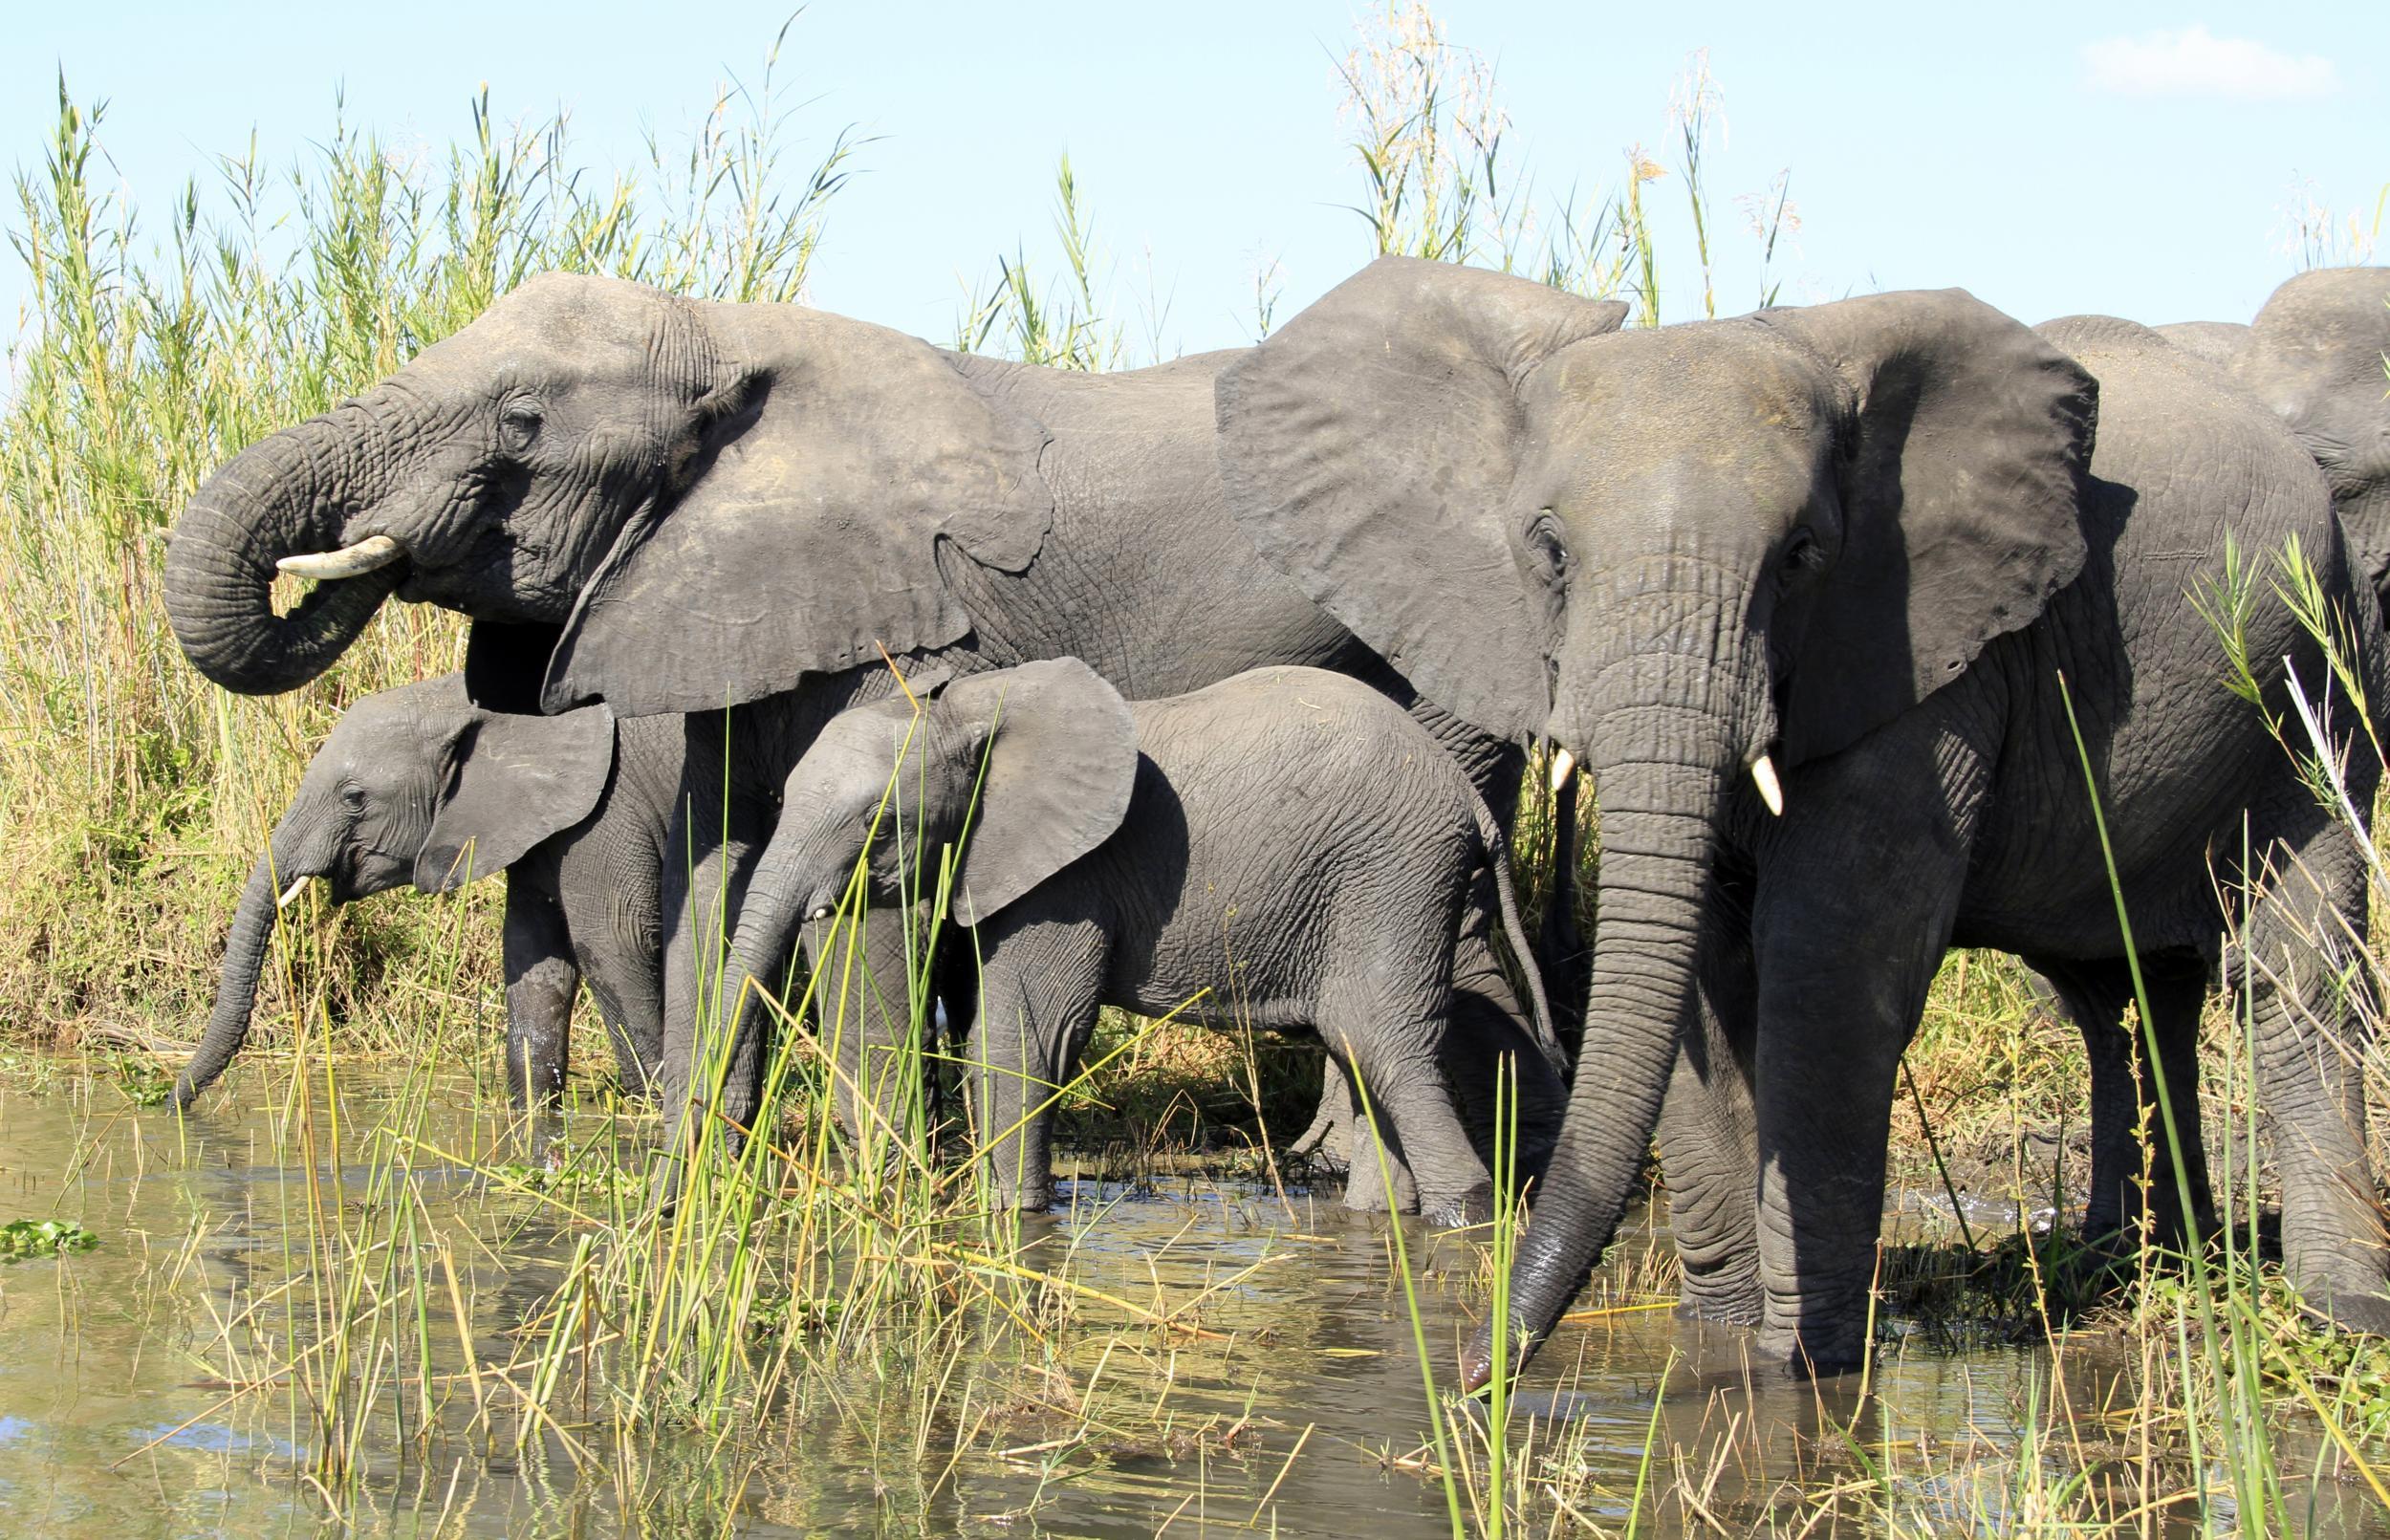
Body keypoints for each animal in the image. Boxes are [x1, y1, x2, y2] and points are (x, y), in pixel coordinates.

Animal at [722, 655, 1568, 1219]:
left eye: (877, 821)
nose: (707, 1146)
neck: (960, 716)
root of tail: (1468, 799)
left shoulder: (1069, 876)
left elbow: (1030, 1033)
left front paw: (1015, 1216)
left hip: (1393, 876)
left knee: (1384, 1045)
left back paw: (1467, 1219)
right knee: (1362, 1058)